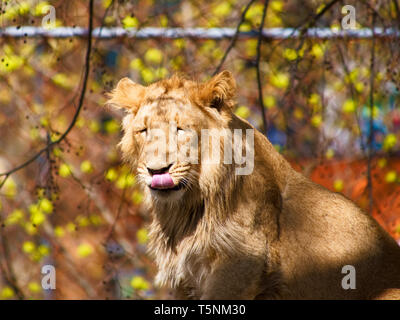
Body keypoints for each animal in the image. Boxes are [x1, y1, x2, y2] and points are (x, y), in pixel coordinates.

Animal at [107, 70, 400, 300]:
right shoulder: (186, 277)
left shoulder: (242, 261)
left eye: (181, 129)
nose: (156, 171)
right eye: (143, 131)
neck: (189, 208)